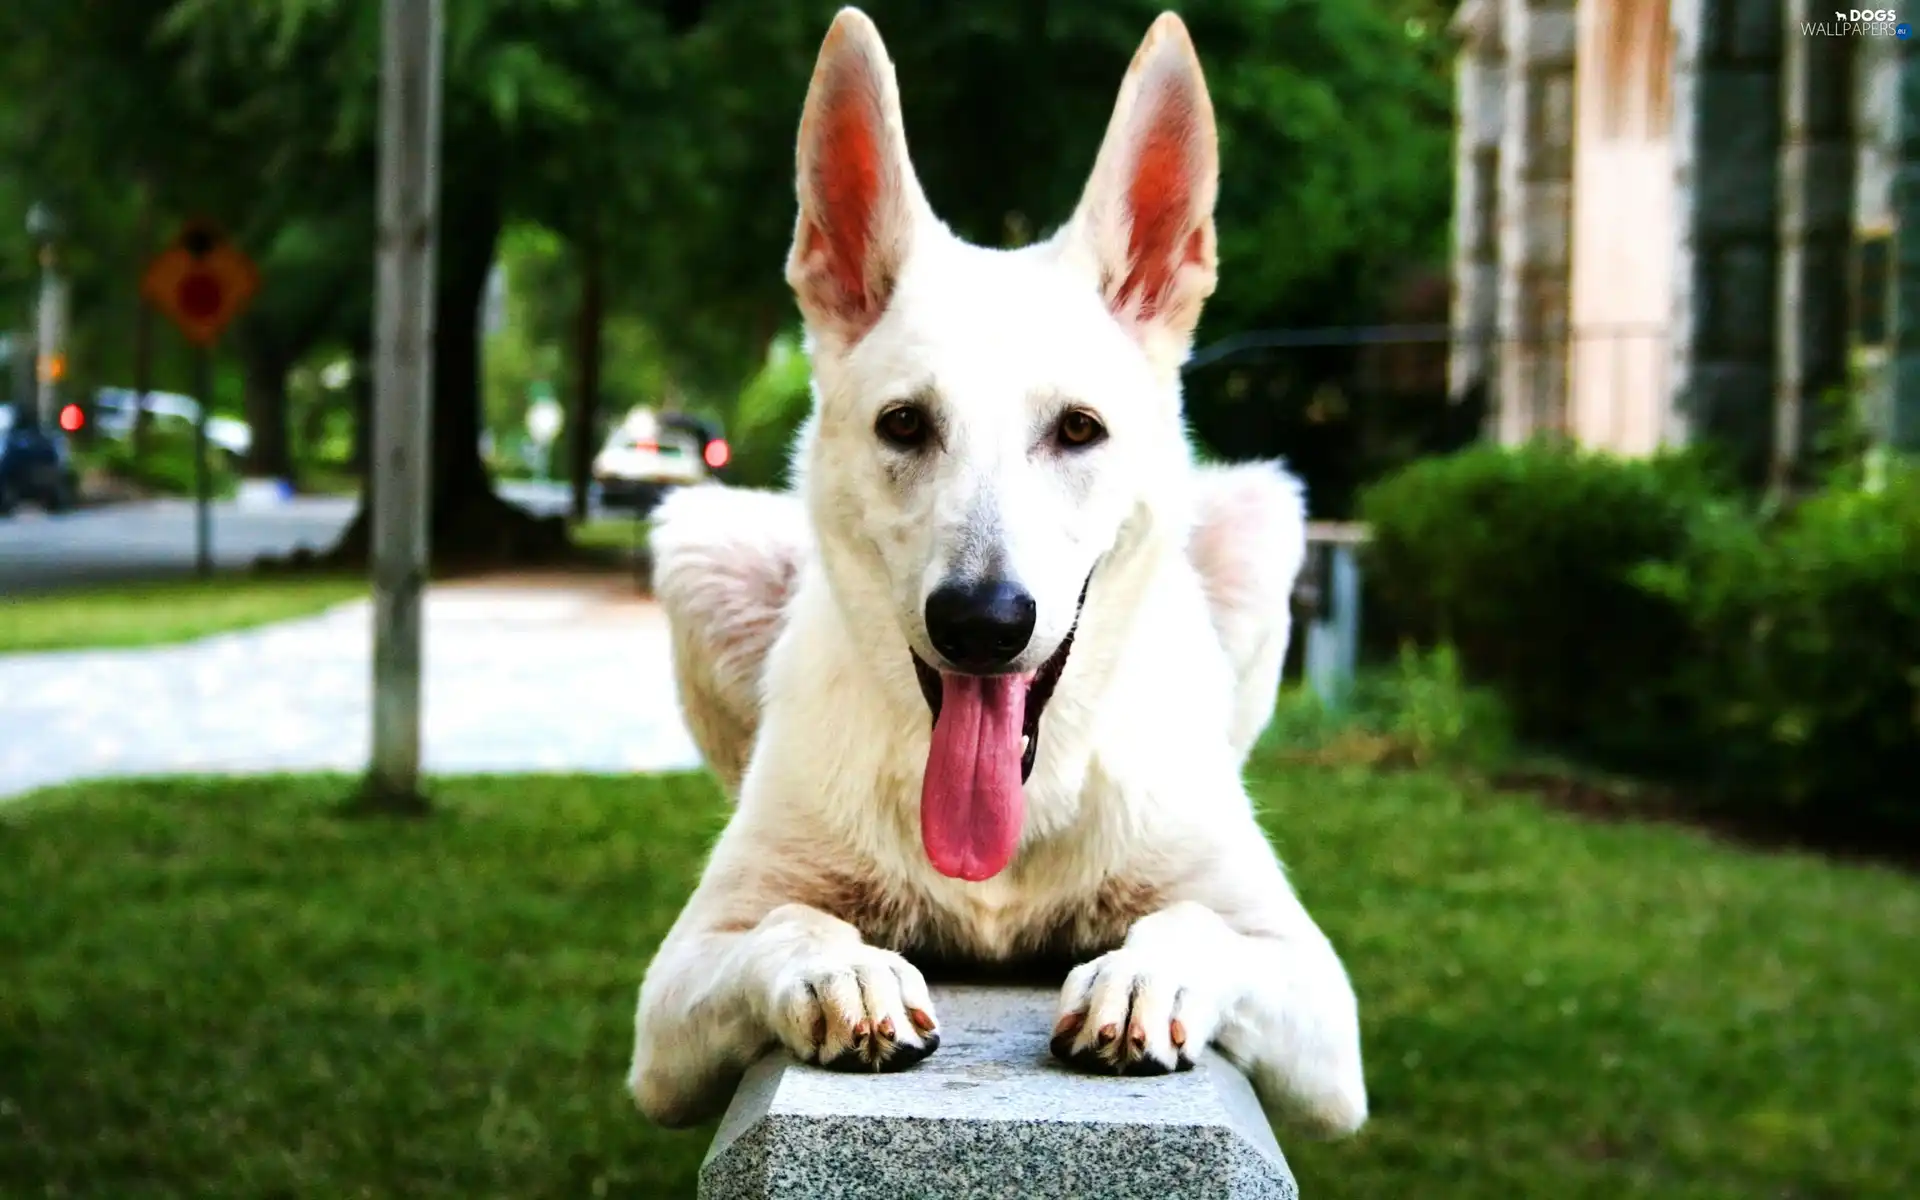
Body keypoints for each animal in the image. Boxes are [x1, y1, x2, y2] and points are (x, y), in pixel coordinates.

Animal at [629, 9, 1367, 1136]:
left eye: (1078, 429)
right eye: (904, 424)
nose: (983, 623)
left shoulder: (1317, 1002)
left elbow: (1197, 923)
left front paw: (1142, 975)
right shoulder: (675, 994)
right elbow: (790, 922)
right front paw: (846, 972)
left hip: (1262, 521)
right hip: (701, 540)